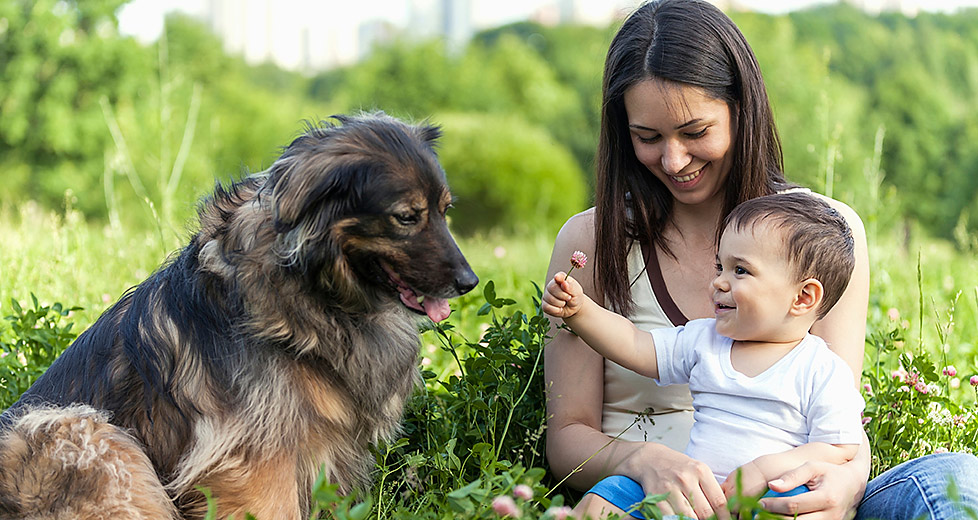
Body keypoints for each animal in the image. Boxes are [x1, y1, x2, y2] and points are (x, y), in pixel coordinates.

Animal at [0, 114, 480, 520]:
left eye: (445, 211)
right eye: (406, 217)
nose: (469, 282)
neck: (311, 293)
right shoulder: (255, 462)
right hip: (82, 430)